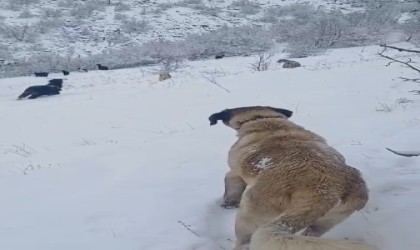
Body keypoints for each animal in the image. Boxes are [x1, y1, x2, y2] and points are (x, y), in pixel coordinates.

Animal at [208, 106, 376, 250]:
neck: (263, 120)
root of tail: (325, 193)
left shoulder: (234, 173)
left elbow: (230, 188)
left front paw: (227, 204)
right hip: (325, 222)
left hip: (249, 216)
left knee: (244, 242)